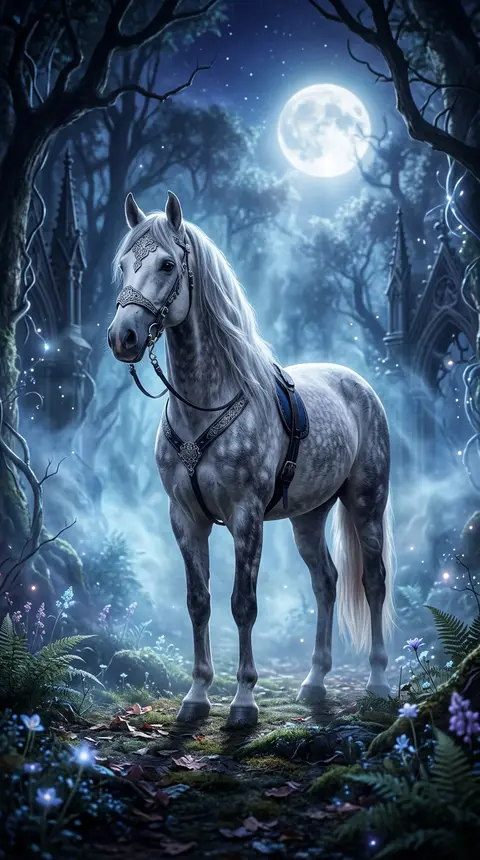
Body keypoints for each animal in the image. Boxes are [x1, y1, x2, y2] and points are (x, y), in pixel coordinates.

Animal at [107, 190, 395, 728]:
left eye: (166, 264)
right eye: (122, 266)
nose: (123, 337)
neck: (205, 406)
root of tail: (357, 384)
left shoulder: (247, 517)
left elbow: (244, 604)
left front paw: (243, 701)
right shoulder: (186, 519)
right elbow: (198, 603)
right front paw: (197, 697)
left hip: (367, 504)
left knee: (373, 583)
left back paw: (379, 683)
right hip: (308, 516)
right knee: (326, 582)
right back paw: (314, 682)